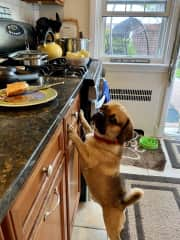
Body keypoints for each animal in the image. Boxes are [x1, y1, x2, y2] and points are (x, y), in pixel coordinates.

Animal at [68, 101, 143, 240]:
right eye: (103, 107)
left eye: (113, 120)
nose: (99, 113)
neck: (104, 139)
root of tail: (122, 205)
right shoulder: (90, 132)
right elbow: (87, 126)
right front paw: (81, 115)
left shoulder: (87, 157)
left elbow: (80, 142)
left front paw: (72, 132)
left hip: (111, 225)